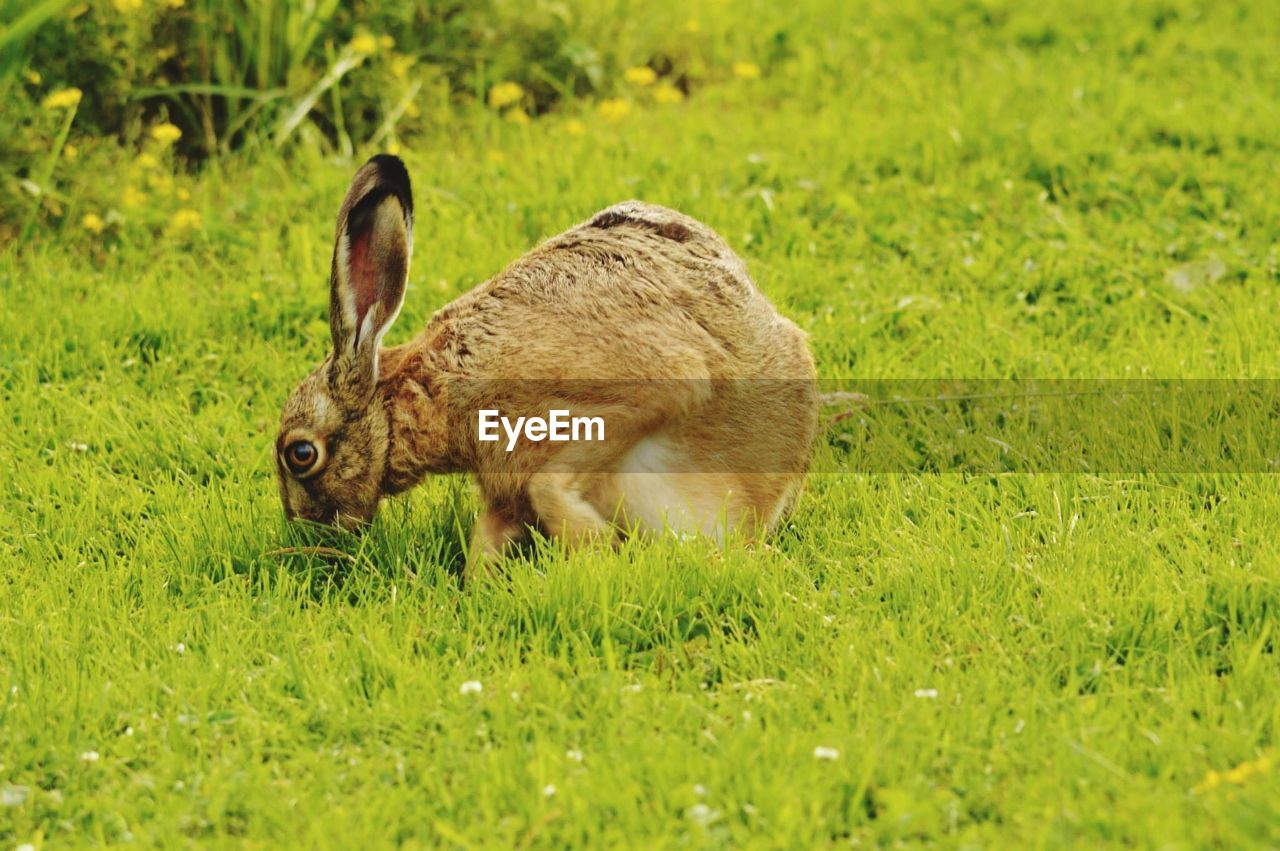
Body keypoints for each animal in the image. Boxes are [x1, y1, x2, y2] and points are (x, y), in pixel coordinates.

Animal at [279, 154, 819, 578]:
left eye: (300, 454)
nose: (309, 530)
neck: (427, 392)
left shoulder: (640, 393)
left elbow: (550, 485)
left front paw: (596, 549)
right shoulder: (502, 491)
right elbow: (488, 537)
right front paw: (478, 589)